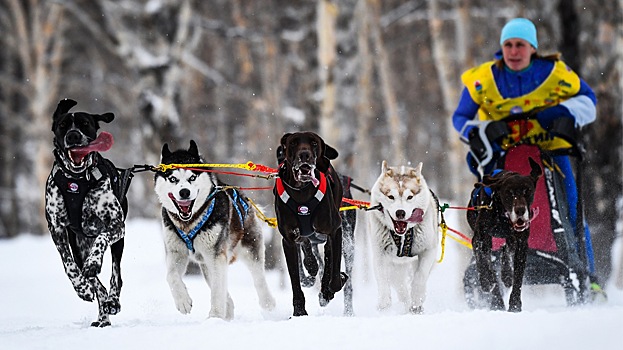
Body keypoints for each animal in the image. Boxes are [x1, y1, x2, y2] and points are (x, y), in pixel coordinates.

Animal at [45, 98, 129, 328]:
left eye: (85, 124)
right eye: (62, 125)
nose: (73, 136)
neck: (76, 180)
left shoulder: (116, 224)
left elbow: (102, 236)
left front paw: (93, 263)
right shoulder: (57, 229)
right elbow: (68, 264)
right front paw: (81, 288)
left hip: (119, 242)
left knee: (115, 276)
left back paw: (113, 302)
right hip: (79, 245)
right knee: (97, 284)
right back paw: (102, 314)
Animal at [274, 132, 348, 318]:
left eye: (314, 143)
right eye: (293, 143)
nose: (304, 154)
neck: (301, 191)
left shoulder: (335, 230)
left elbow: (334, 274)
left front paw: (329, 290)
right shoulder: (288, 240)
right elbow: (295, 279)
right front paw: (299, 311)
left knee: (328, 256)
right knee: (307, 245)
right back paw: (311, 264)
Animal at [368, 160, 442, 314]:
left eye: (410, 197)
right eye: (391, 196)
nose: (400, 212)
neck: (403, 236)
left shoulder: (428, 250)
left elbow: (420, 276)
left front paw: (417, 299)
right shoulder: (380, 255)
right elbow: (383, 281)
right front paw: (384, 306)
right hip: (395, 269)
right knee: (401, 288)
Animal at [468, 158, 540, 312]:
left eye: (528, 191)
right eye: (509, 192)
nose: (520, 210)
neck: (502, 215)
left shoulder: (522, 244)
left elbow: (518, 276)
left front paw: (515, 304)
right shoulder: (480, 238)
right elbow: (482, 260)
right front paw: (486, 280)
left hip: (511, 238)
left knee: (506, 249)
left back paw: (506, 275)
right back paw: (496, 301)